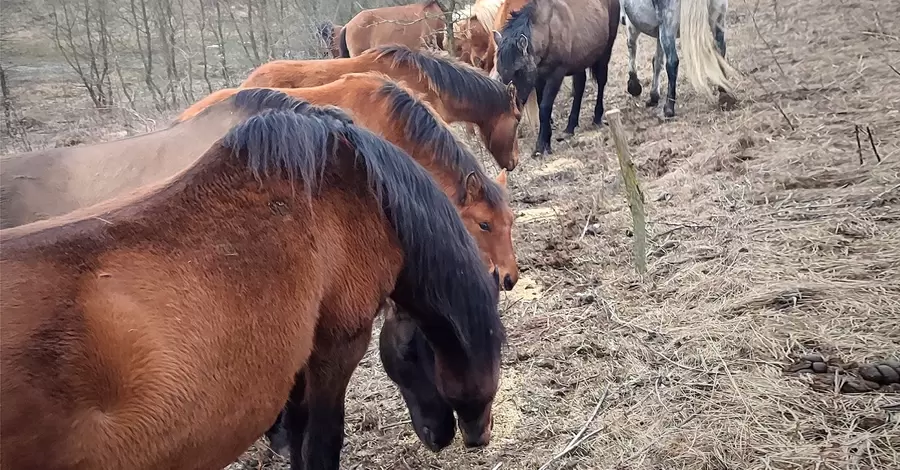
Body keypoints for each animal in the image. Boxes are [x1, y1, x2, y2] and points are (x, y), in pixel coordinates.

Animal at [492, 0, 620, 156]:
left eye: (518, 70)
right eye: (499, 70)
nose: (513, 106)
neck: (547, 31)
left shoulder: (556, 75)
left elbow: (545, 107)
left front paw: (541, 146)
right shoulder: (539, 77)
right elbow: (542, 106)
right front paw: (547, 142)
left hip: (606, 50)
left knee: (601, 81)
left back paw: (597, 118)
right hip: (580, 60)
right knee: (580, 86)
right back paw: (570, 126)